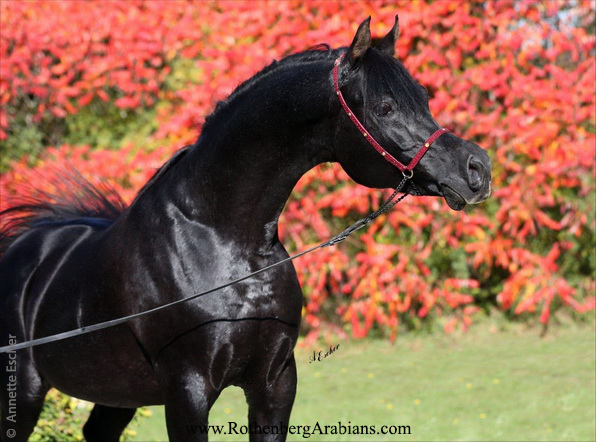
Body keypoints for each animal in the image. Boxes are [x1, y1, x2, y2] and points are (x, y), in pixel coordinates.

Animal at [1, 19, 488, 442]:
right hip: (24, 393)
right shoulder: (188, 391)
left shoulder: (275, 383)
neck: (226, 241)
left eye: (423, 98)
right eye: (385, 107)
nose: (477, 168)